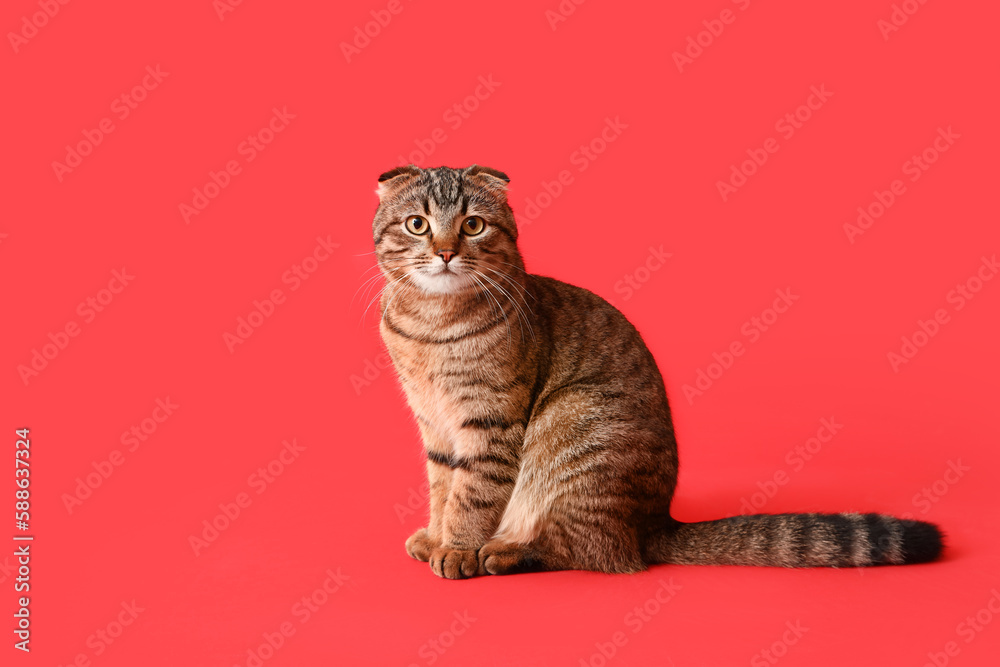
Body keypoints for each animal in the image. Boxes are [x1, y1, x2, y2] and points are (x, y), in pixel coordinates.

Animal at [372, 163, 940, 580]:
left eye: (473, 224)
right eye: (418, 224)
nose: (446, 252)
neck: (430, 324)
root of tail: (654, 524)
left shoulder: (490, 421)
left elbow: (472, 493)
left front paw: (458, 547)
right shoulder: (434, 421)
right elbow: (442, 484)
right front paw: (437, 535)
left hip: (571, 419)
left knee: (591, 551)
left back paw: (507, 551)